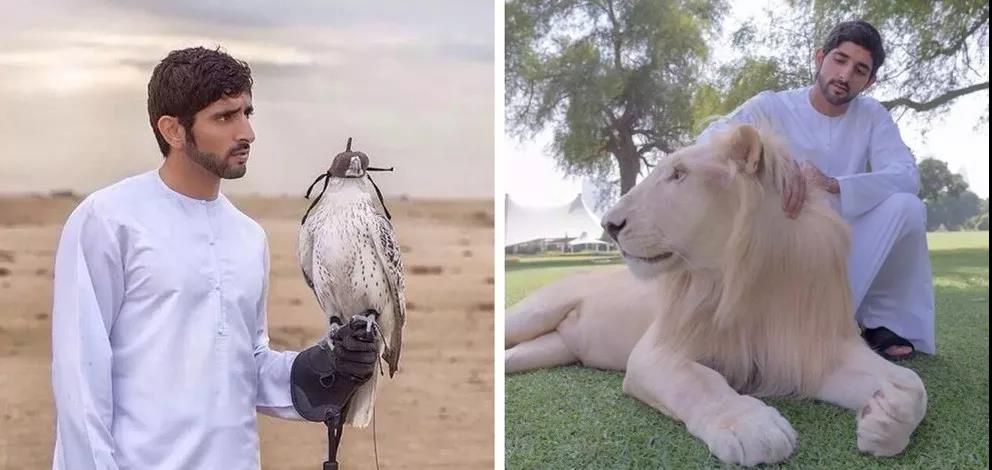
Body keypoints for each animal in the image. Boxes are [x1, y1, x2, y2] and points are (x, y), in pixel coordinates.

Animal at [508, 124, 928, 466]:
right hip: (533, 313)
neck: (750, 281)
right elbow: (699, 382)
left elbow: (913, 385)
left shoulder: (809, 349)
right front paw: (751, 427)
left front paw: (882, 418)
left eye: (678, 174)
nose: (609, 225)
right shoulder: (655, 353)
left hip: (547, 349)